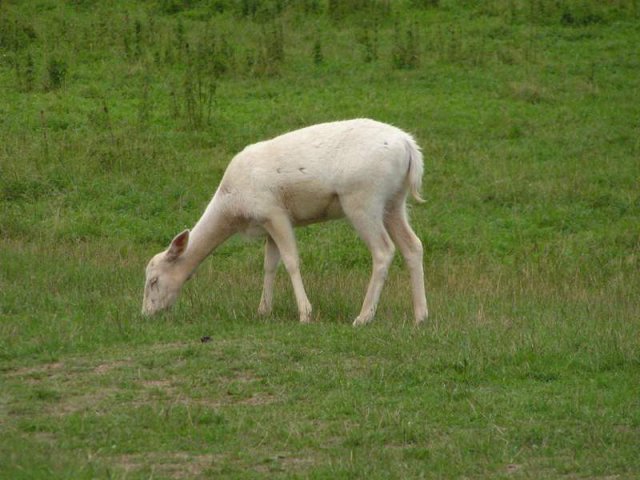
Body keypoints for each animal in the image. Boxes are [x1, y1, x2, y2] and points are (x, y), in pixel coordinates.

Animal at [142, 118, 428, 326]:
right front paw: (263, 310)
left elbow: (291, 261)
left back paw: (364, 316)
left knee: (383, 250)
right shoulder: (267, 225)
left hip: (363, 199)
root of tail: (409, 147)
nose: (145, 314)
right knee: (413, 245)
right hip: (394, 202)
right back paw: (421, 316)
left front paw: (305, 314)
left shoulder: (274, 212)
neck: (232, 206)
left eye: (153, 280)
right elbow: (269, 265)